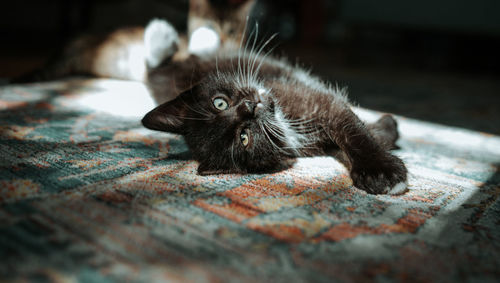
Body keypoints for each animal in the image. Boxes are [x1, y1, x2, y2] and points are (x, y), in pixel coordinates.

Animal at [141, 19, 406, 195]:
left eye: (219, 102)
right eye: (244, 137)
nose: (249, 107)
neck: (285, 122)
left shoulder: (318, 101)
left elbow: (353, 130)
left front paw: (380, 167)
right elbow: (354, 131)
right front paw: (385, 144)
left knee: (166, 64)